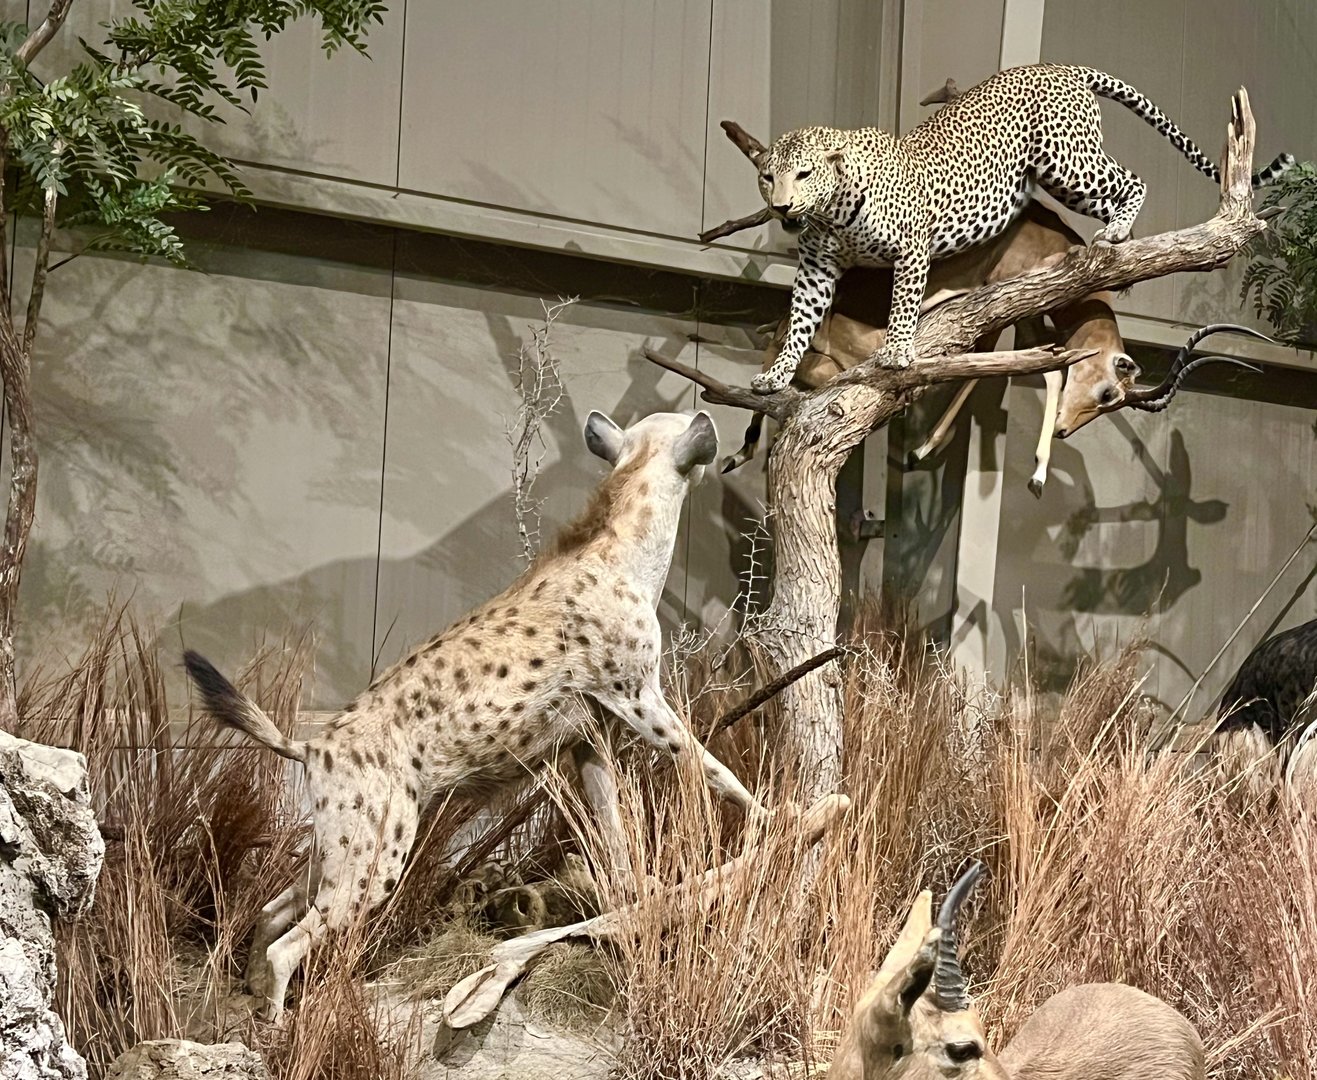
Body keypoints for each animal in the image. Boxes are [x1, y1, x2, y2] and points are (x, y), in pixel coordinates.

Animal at [748, 63, 1294, 394]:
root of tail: (1061, 67)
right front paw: (776, 376)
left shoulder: (910, 248)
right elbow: (798, 324)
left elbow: (901, 305)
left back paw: (1118, 234)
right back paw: (1119, 246)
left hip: (1067, 163)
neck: (832, 210)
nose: (781, 206)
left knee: (1133, 179)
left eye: (804, 174)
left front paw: (898, 351)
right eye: (767, 176)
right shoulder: (816, 270)